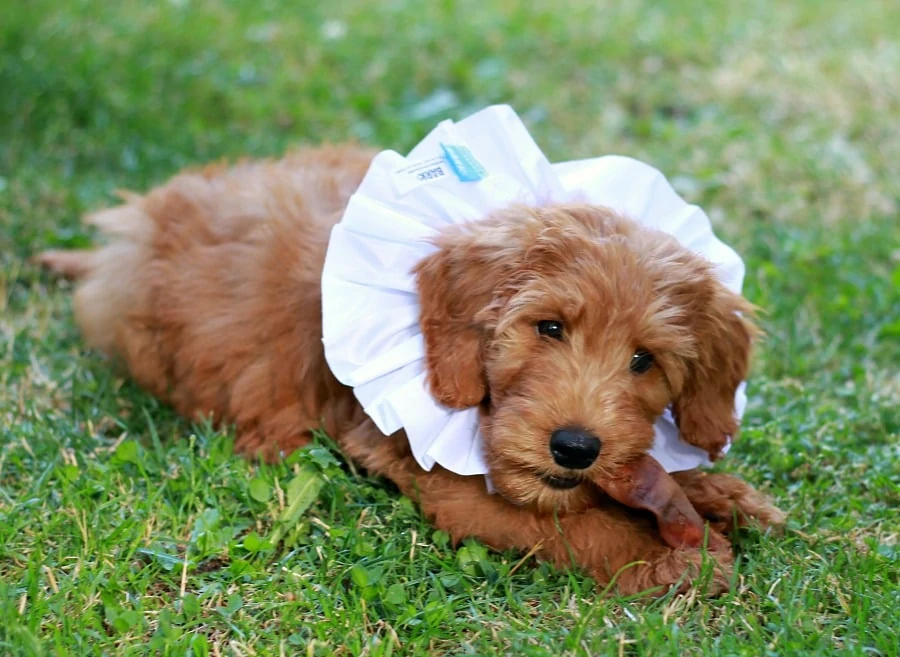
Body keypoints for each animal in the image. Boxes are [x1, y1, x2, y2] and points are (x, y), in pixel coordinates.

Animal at [38, 144, 784, 596]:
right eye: (548, 327)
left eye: (643, 361)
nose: (575, 447)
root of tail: (127, 234)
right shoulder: (447, 479)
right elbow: (573, 524)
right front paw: (673, 557)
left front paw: (718, 492)